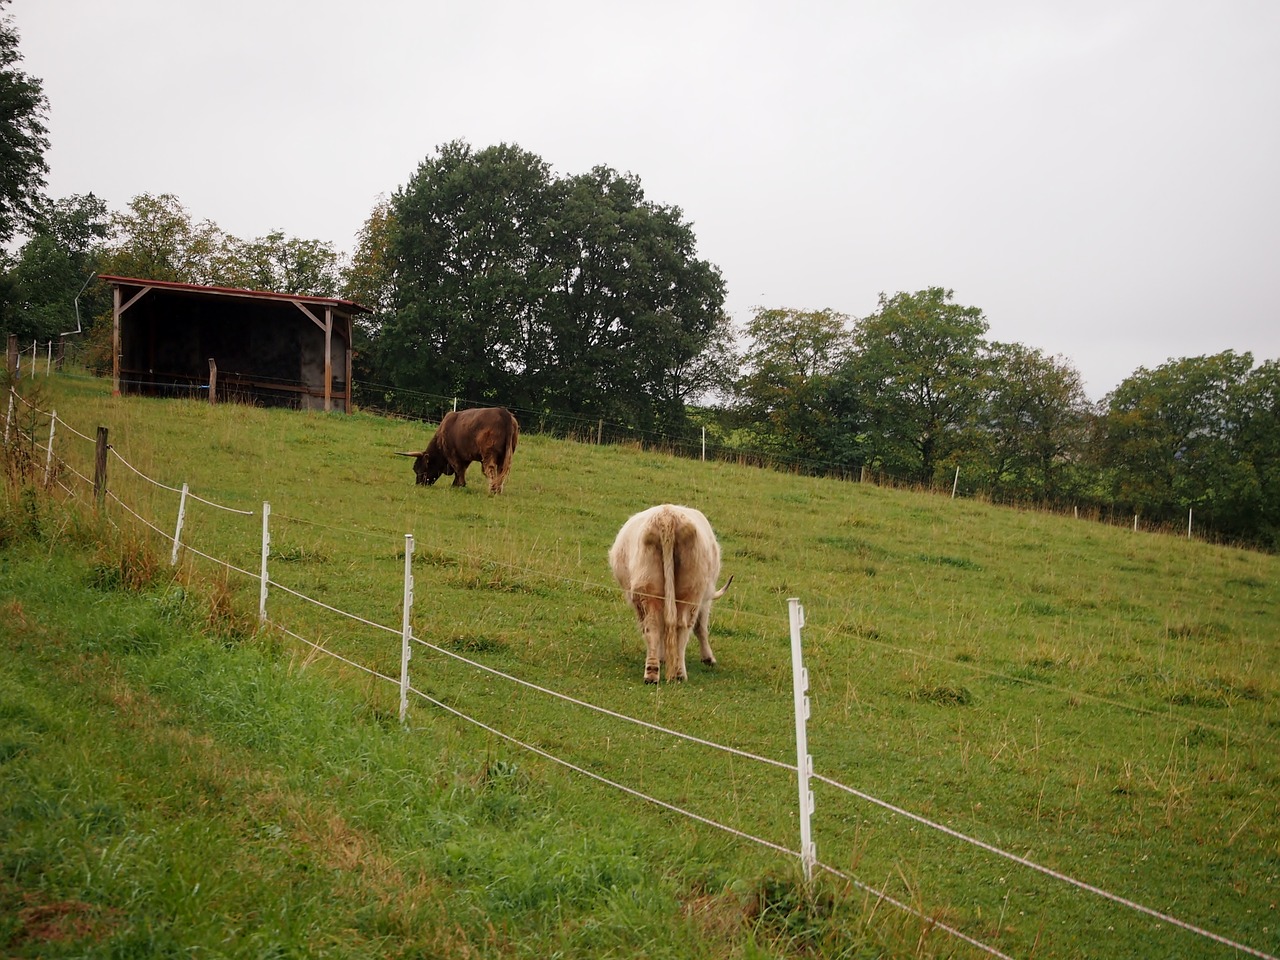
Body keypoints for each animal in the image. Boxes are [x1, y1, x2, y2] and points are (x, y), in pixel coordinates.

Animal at [606, 504, 732, 686]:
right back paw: (675, 672)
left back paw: (654, 673)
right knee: (678, 627)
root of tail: (667, 517)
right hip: (689, 592)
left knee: (656, 626)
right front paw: (708, 658)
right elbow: (700, 628)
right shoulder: (703, 600)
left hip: (652, 589)